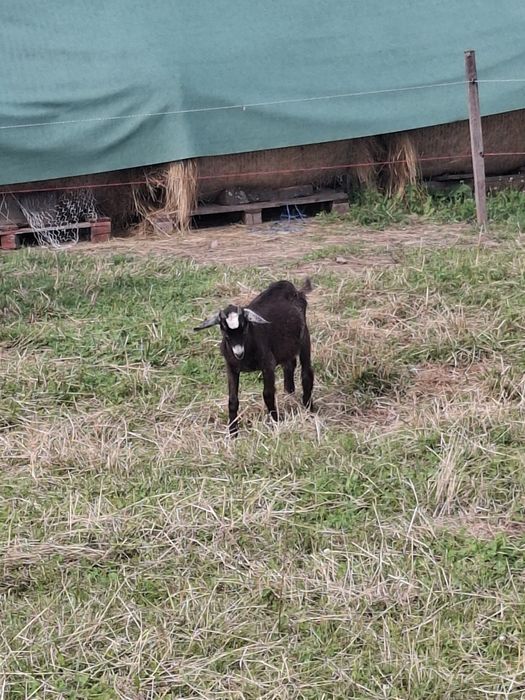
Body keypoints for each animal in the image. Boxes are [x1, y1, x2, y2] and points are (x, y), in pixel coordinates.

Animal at [194, 279, 314, 435]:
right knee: (289, 365)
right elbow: (232, 400)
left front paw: (275, 422)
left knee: (306, 373)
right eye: (224, 331)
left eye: (245, 327)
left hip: (304, 337)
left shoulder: (268, 365)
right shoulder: (231, 367)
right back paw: (289, 395)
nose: (238, 353)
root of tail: (288, 286)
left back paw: (309, 408)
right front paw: (232, 432)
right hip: (286, 346)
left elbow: (268, 394)